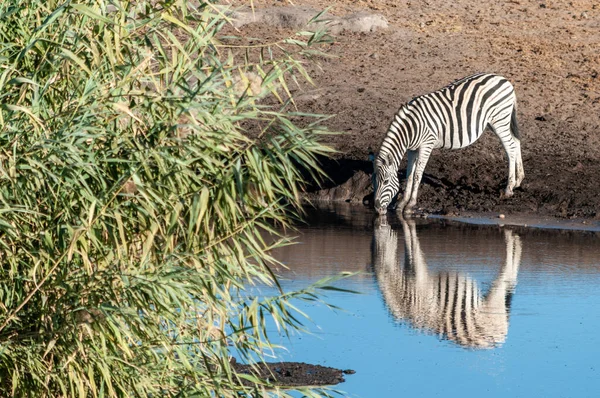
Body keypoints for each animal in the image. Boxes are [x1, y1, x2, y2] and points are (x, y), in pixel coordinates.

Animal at [372, 71, 524, 215]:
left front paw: (410, 204)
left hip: (499, 120)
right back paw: (518, 180)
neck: (411, 128)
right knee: (516, 141)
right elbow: (409, 174)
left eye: (386, 181)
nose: (377, 208)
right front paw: (402, 203)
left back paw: (508, 189)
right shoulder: (412, 149)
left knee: (510, 147)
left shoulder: (427, 144)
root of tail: (504, 79)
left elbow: (417, 175)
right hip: (496, 122)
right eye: (374, 180)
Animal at [372, 218, 524, 348]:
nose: (381, 225)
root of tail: (499, 338)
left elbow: (414, 250)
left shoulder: (420, 280)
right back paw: (516, 240)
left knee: (506, 272)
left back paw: (509, 237)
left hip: (493, 303)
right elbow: (410, 248)